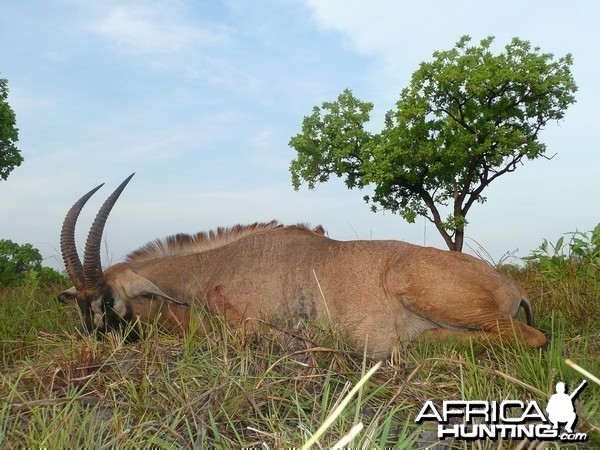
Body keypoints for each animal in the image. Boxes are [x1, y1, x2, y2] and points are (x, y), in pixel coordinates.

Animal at [59, 174, 548, 356]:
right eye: (79, 305)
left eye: (108, 301)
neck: (208, 272)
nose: (92, 348)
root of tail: (512, 286)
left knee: (530, 338)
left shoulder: (249, 326)